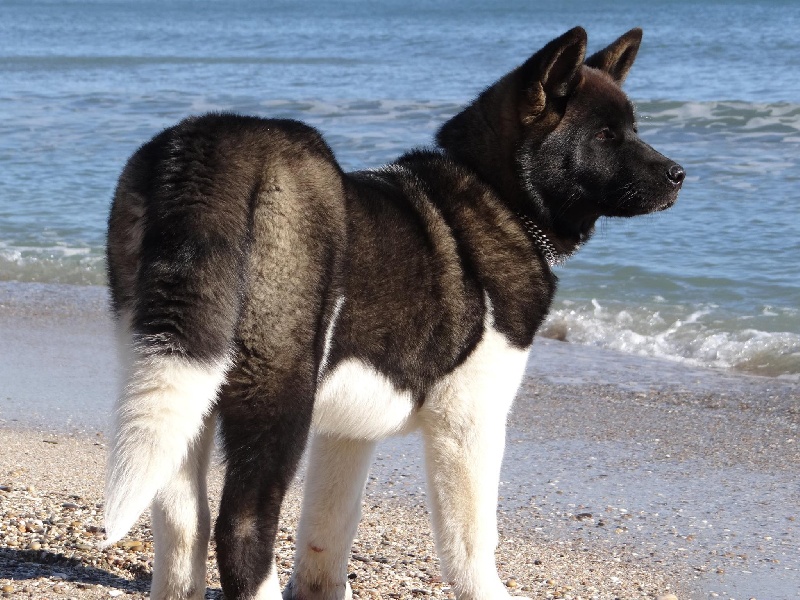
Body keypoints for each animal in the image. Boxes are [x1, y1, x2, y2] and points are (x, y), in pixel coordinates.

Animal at [103, 27, 684, 600]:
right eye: (605, 136)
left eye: (633, 129)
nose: (679, 174)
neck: (496, 194)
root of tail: (211, 147)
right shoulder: (469, 421)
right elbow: (473, 539)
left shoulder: (348, 431)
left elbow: (329, 528)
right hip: (279, 393)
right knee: (241, 528)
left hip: (174, 383)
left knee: (184, 521)